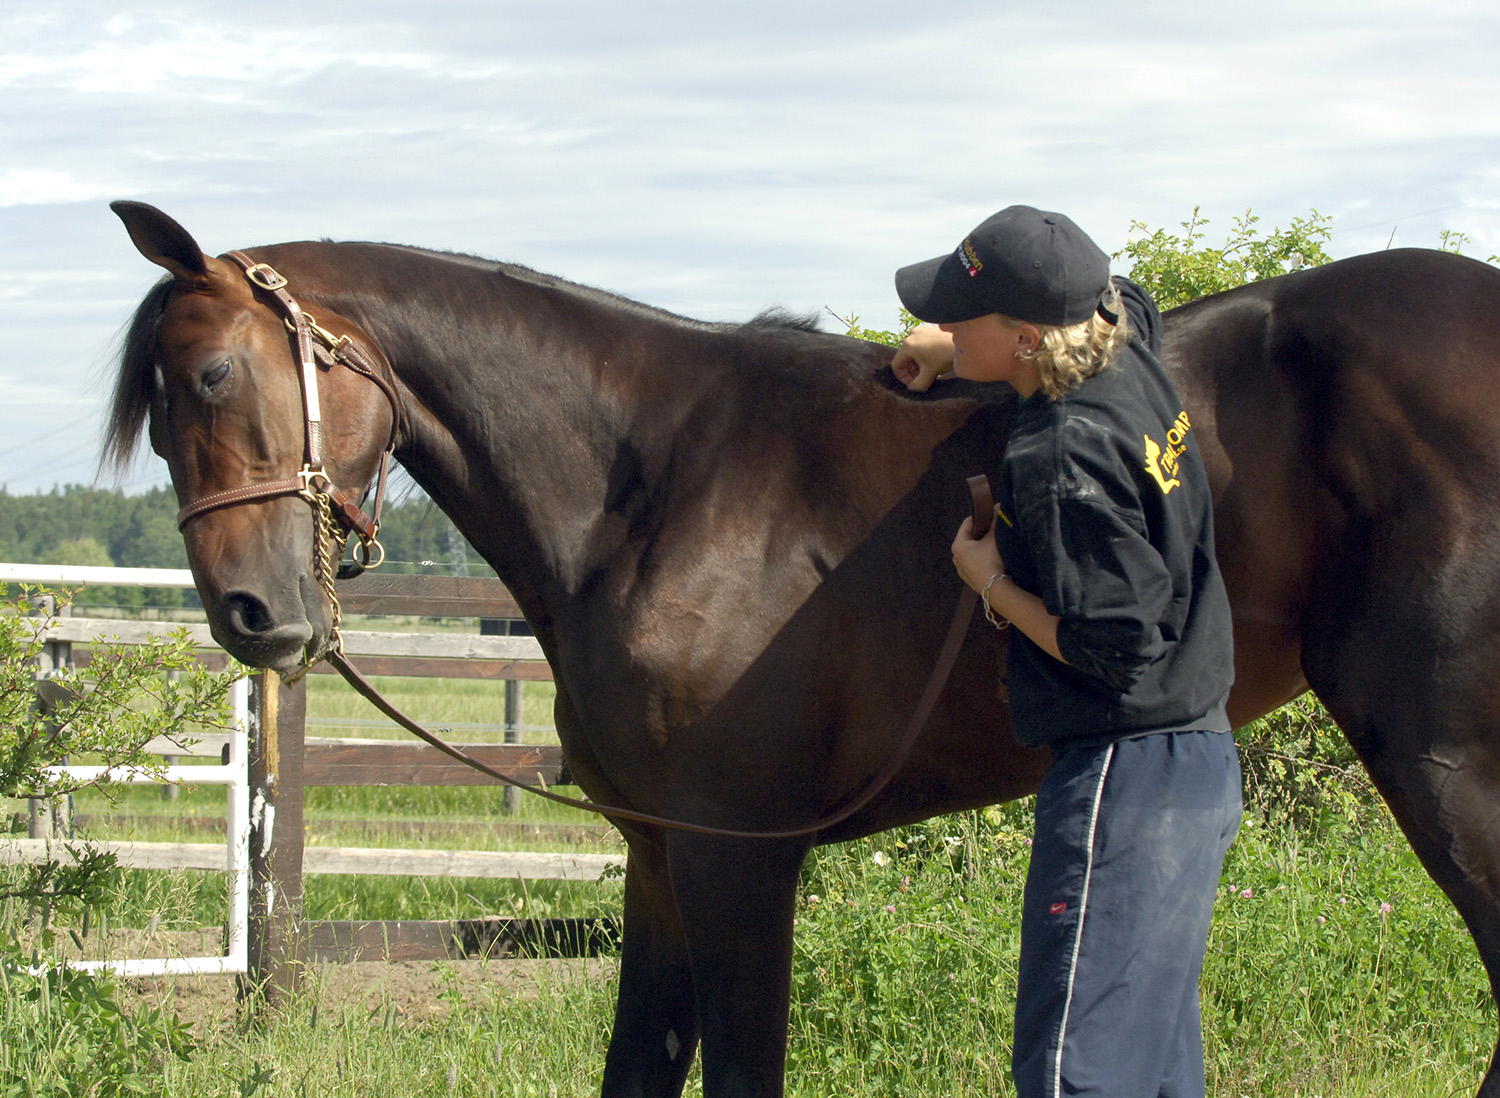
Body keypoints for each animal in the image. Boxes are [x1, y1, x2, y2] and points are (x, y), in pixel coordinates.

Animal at [108, 199, 1500, 1098]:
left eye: (215, 375)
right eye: (158, 408)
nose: (250, 616)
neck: (653, 484)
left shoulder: (739, 855)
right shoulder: (660, 854)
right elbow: (640, 1065)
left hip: (1447, 764)